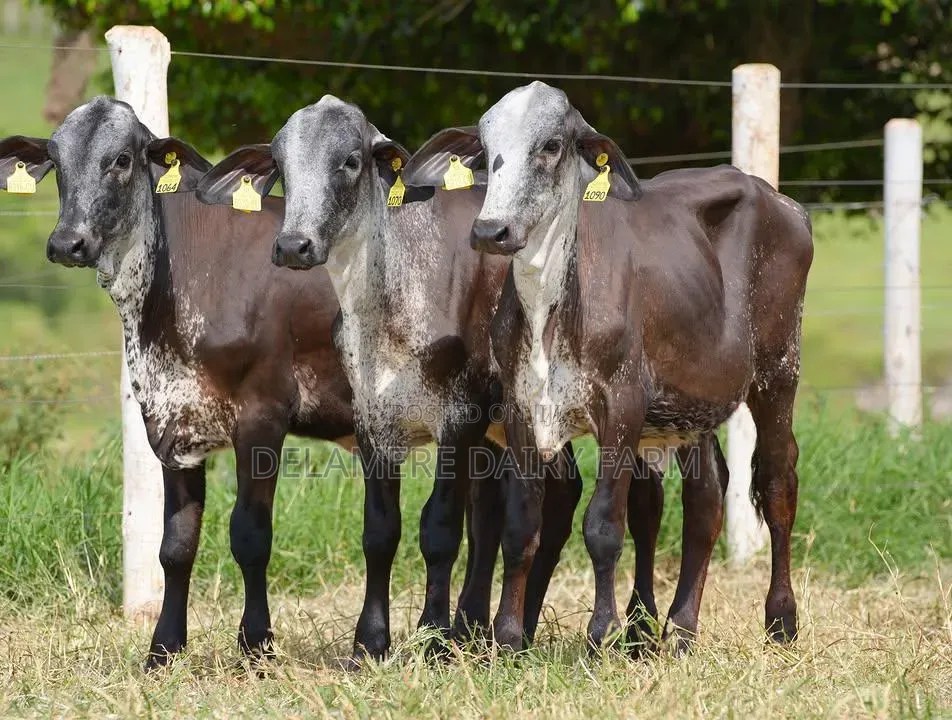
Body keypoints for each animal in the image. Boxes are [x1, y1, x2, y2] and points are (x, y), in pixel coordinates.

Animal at [0, 96, 364, 670]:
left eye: (122, 160)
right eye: (55, 160)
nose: (66, 242)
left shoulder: (263, 414)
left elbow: (250, 535)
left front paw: (256, 646)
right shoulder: (172, 422)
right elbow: (175, 545)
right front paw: (163, 649)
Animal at [195, 95, 585, 662]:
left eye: (350, 161)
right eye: (283, 167)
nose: (293, 245)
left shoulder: (459, 418)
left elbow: (440, 528)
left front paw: (435, 638)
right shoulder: (373, 422)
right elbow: (381, 531)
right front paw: (371, 641)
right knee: (515, 505)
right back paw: (482, 625)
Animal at [403, 81, 813, 653]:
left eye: (552, 145)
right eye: (485, 149)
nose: (490, 230)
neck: (550, 305)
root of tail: (779, 199)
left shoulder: (621, 406)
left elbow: (602, 526)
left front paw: (602, 632)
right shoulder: (523, 408)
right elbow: (521, 526)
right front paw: (508, 635)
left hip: (778, 370)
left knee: (777, 483)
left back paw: (781, 620)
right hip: (693, 403)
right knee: (708, 497)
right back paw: (679, 629)